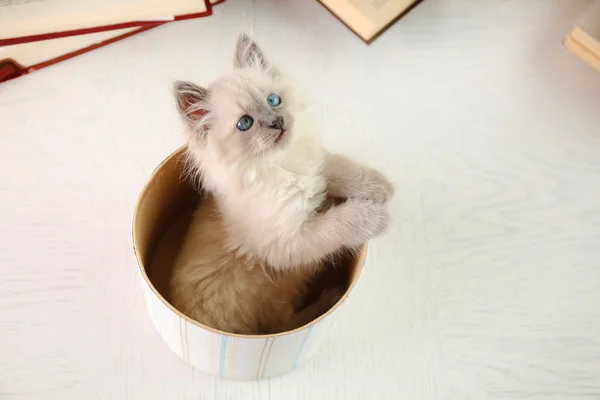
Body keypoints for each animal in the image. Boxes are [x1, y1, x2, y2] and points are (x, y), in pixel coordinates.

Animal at [169, 33, 394, 334]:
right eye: (245, 123)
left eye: (273, 100)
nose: (277, 121)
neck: (280, 165)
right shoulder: (290, 242)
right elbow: (339, 223)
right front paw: (375, 217)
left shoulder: (317, 164)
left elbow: (341, 169)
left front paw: (380, 187)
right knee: (290, 321)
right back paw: (330, 296)